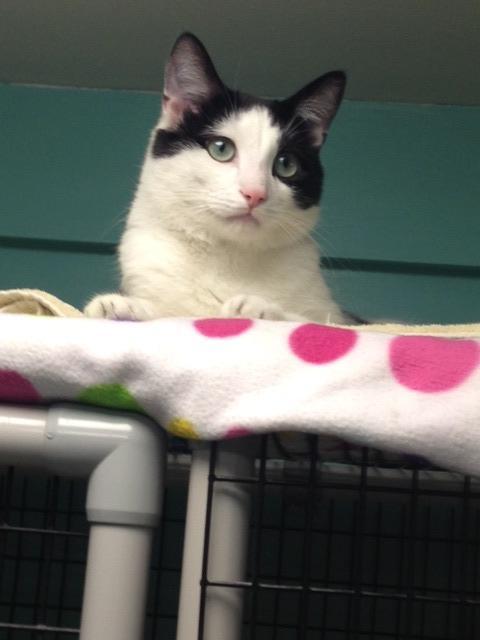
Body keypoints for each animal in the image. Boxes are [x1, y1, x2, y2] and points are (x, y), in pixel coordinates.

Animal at [85, 32, 348, 324]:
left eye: (286, 164)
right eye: (221, 149)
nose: (255, 193)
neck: (228, 255)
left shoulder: (334, 316)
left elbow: (315, 321)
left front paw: (258, 307)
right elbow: (169, 313)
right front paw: (120, 306)